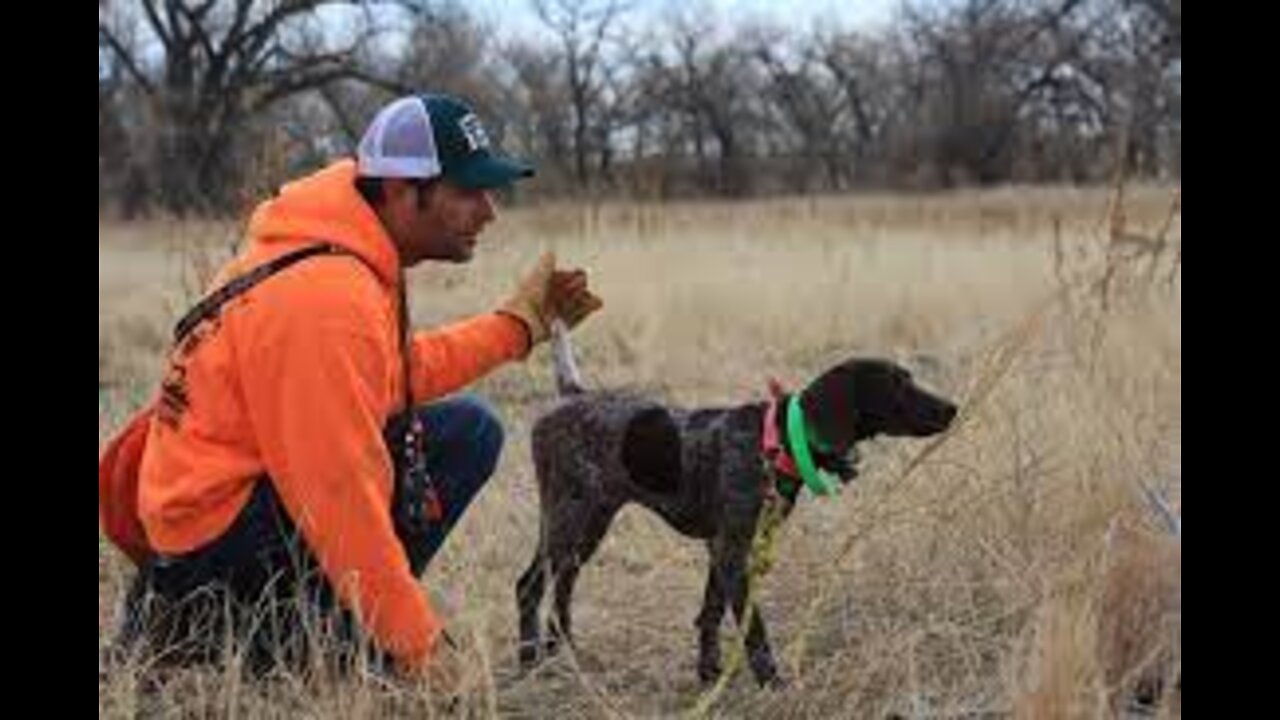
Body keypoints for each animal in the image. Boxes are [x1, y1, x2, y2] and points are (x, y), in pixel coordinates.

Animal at [514, 320, 957, 681]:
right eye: (897, 384)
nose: (952, 408)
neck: (777, 441)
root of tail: (572, 395)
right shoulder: (732, 550)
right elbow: (753, 629)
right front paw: (772, 682)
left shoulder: (725, 548)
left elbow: (710, 613)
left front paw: (708, 673)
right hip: (569, 519)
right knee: (529, 586)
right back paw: (529, 659)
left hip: (587, 526)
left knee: (563, 587)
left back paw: (562, 652)